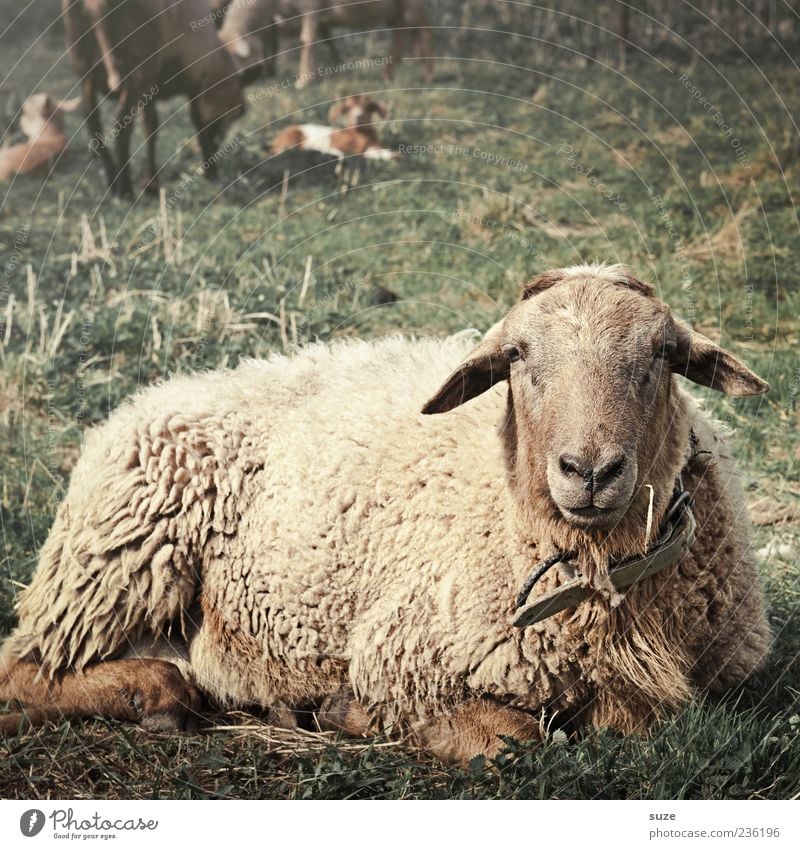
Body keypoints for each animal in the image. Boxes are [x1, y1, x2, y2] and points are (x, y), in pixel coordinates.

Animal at [1, 262, 776, 760]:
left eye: (664, 352)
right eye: (516, 355)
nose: (589, 471)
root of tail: (146, 396)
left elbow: (633, 720)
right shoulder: (401, 649)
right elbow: (513, 739)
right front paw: (355, 713)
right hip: (114, 560)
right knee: (24, 666)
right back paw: (152, 695)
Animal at [63, 0, 244, 197]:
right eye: (237, 110)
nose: (218, 142)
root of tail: (96, 6)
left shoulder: (150, 91)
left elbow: (150, 126)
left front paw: (150, 183)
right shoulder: (195, 80)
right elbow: (199, 122)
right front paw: (212, 173)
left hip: (84, 67)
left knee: (92, 120)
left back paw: (113, 182)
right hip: (138, 67)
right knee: (120, 122)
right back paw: (125, 190)